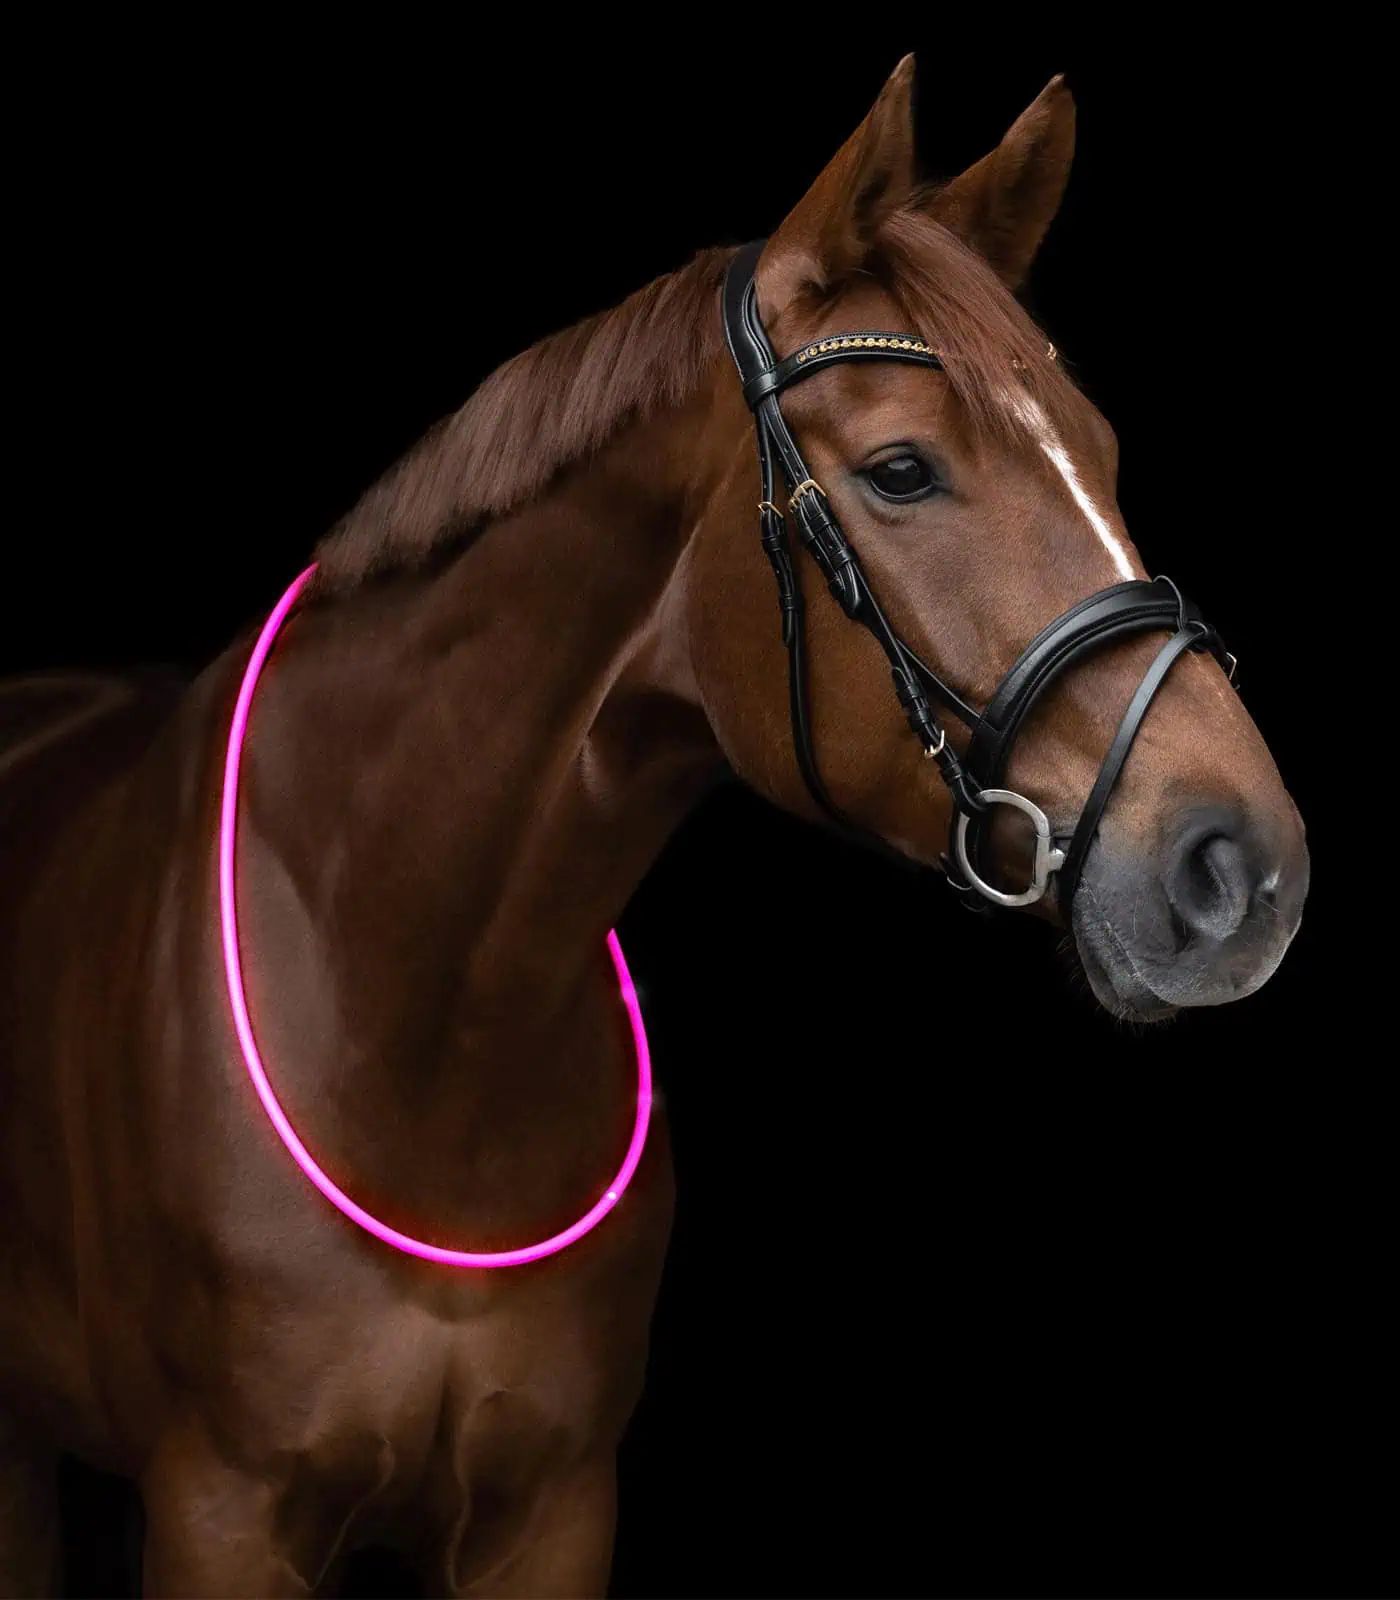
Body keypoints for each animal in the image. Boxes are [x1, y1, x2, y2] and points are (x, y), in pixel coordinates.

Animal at [0, 59, 1308, 1597]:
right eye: (904, 470)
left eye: (1100, 454)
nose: (1244, 867)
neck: (415, 1039)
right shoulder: (222, 1513)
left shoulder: (554, 1512)